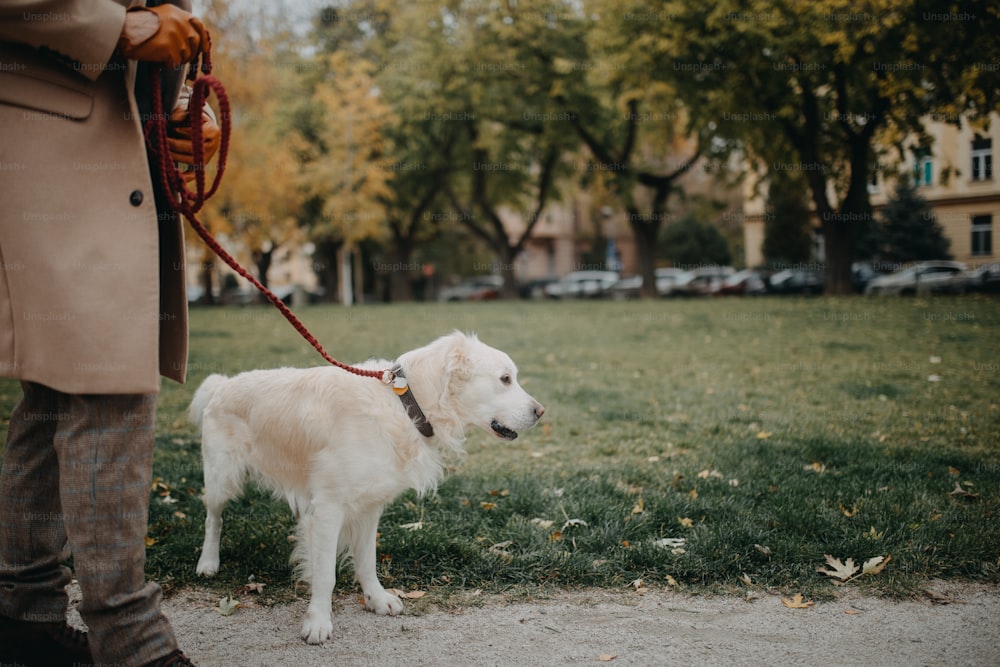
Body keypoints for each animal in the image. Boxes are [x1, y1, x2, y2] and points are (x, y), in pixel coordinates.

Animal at [190, 332, 544, 644]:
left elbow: (366, 560)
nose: (541, 412)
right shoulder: (329, 508)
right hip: (222, 478)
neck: (405, 404)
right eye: (505, 379)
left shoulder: (369, 506)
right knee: (213, 518)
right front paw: (318, 621)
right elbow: (326, 574)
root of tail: (221, 383)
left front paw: (376, 598)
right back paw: (208, 563)